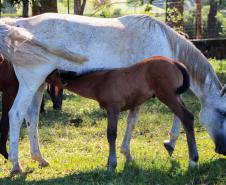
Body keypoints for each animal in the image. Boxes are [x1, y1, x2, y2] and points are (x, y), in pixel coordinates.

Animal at [53, 56, 199, 171]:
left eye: (51, 76)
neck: (100, 82)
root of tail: (174, 62)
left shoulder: (113, 109)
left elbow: (111, 134)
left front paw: (111, 164)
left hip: (168, 96)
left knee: (187, 117)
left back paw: (193, 160)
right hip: (175, 96)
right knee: (184, 115)